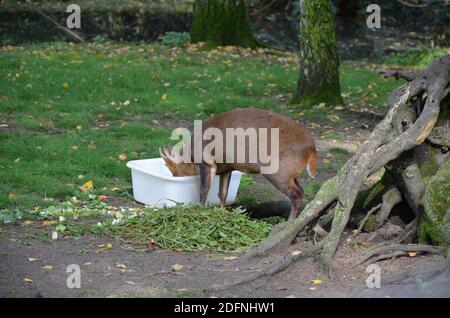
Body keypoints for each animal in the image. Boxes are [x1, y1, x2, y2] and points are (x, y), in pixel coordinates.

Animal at [162, 107, 316, 221]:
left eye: (173, 170)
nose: (174, 177)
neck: (191, 156)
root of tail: (311, 148)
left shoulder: (207, 162)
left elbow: (204, 190)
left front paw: (200, 211)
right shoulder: (227, 167)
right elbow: (222, 193)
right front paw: (222, 212)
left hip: (277, 170)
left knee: (296, 193)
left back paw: (289, 223)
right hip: (290, 172)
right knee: (300, 189)